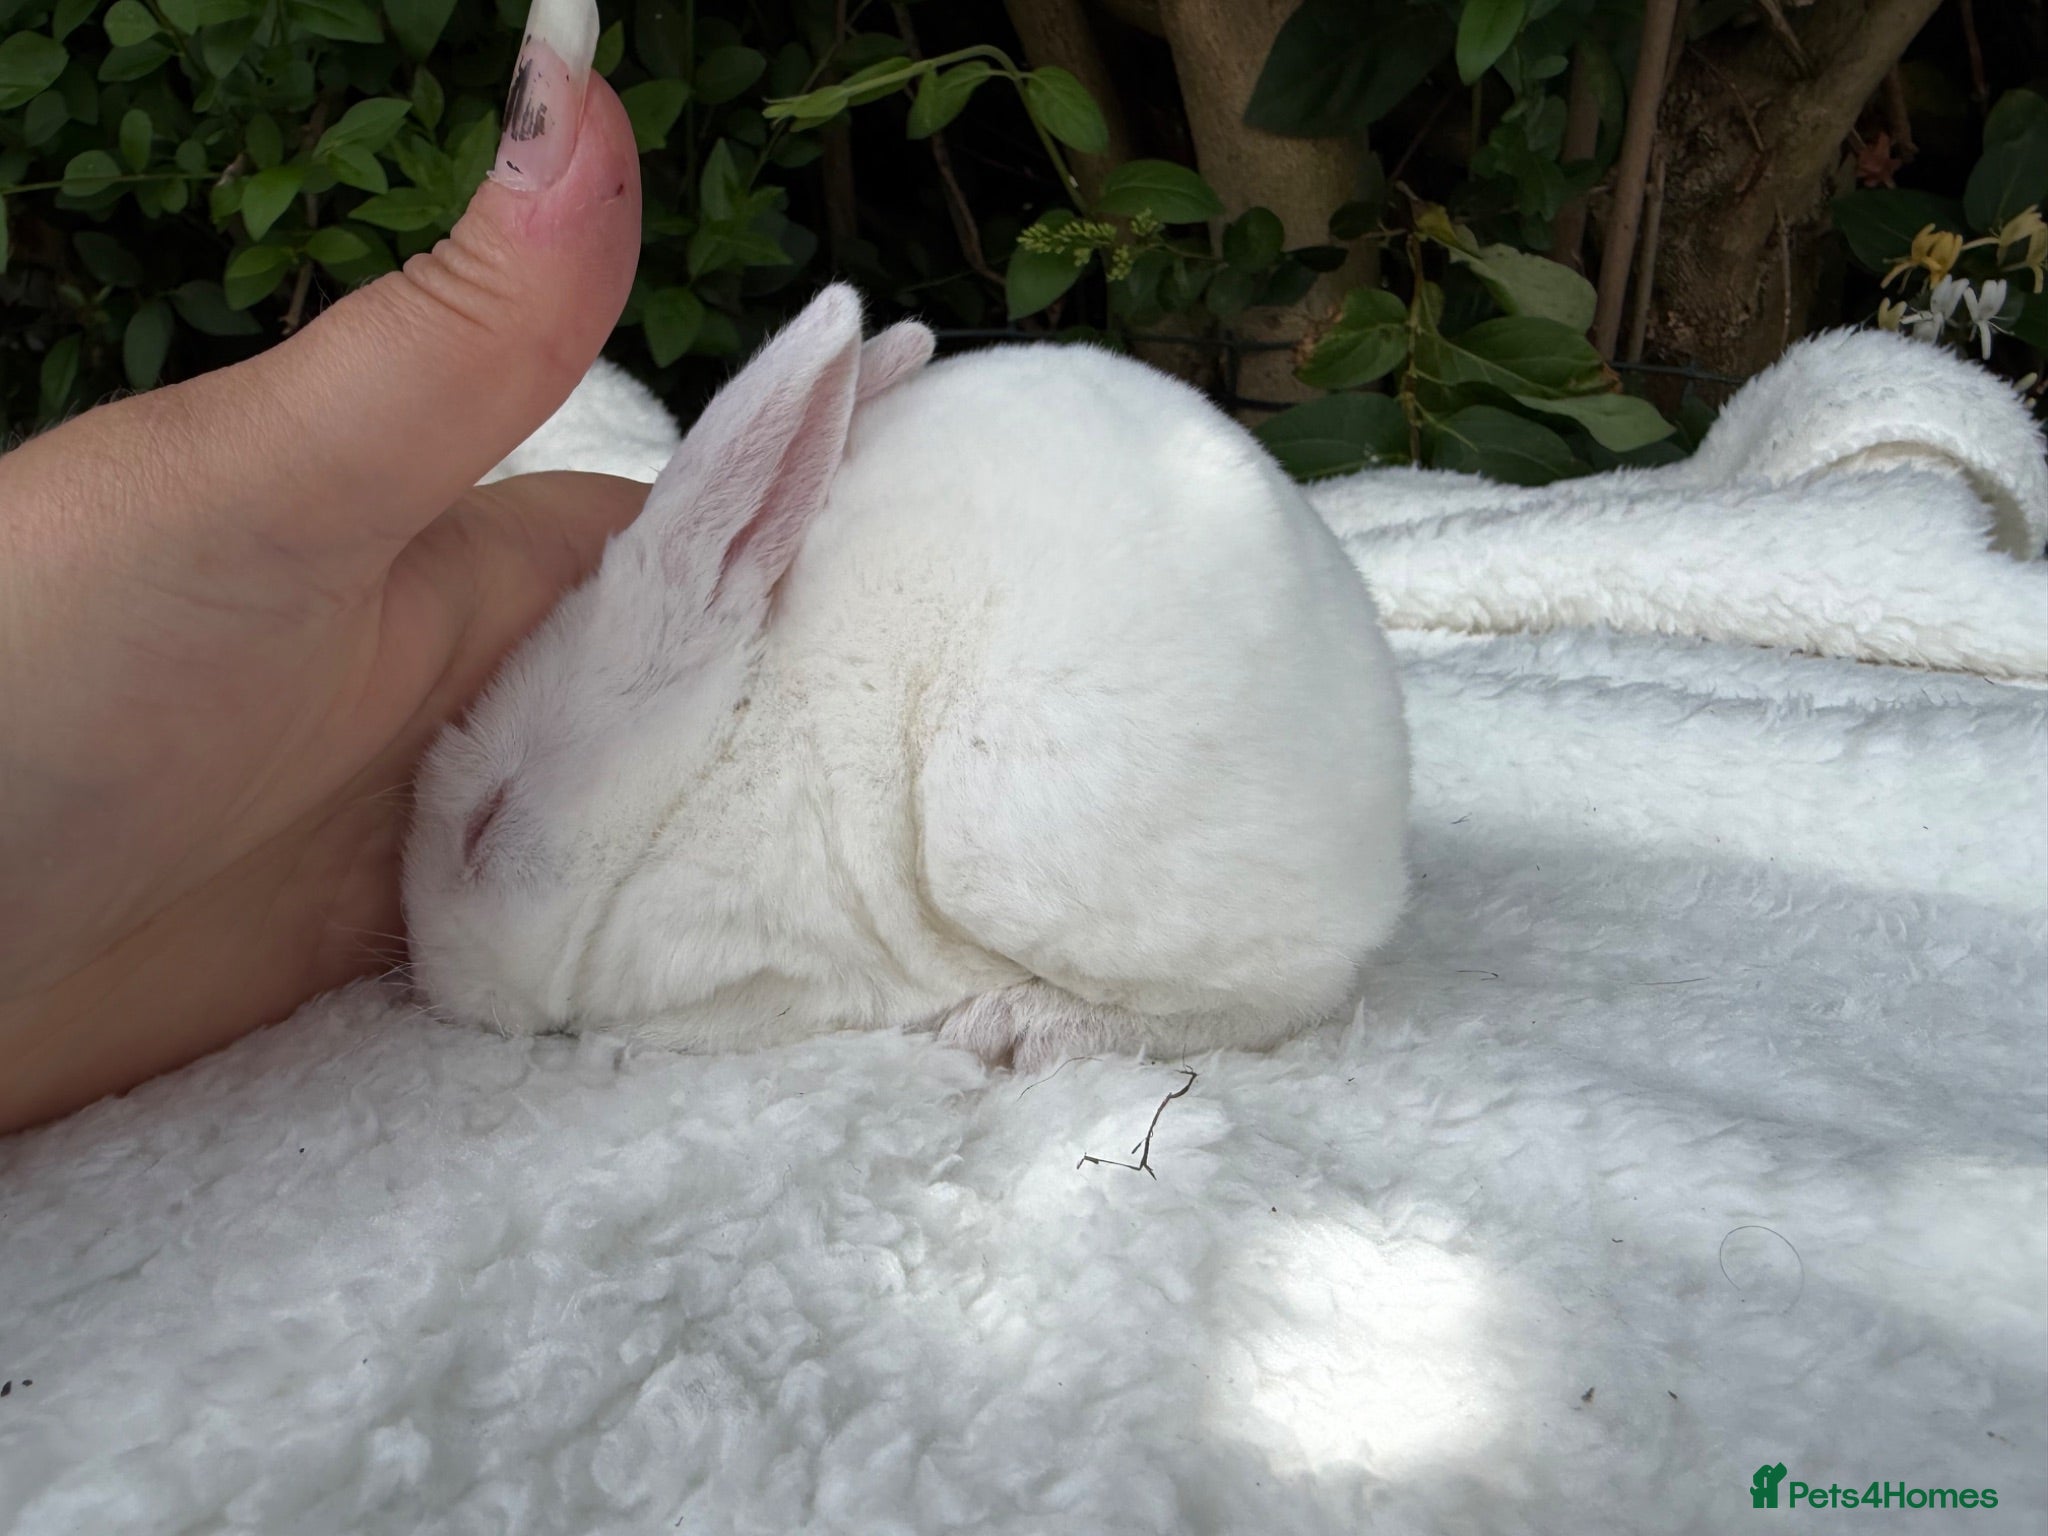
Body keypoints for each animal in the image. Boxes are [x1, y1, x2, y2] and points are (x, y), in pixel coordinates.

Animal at [402, 284, 1410, 1072]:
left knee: (1280, 999)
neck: (706, 758)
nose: (431, 974)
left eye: (487, 824)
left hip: (1013, 843)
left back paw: (1021, 1026)